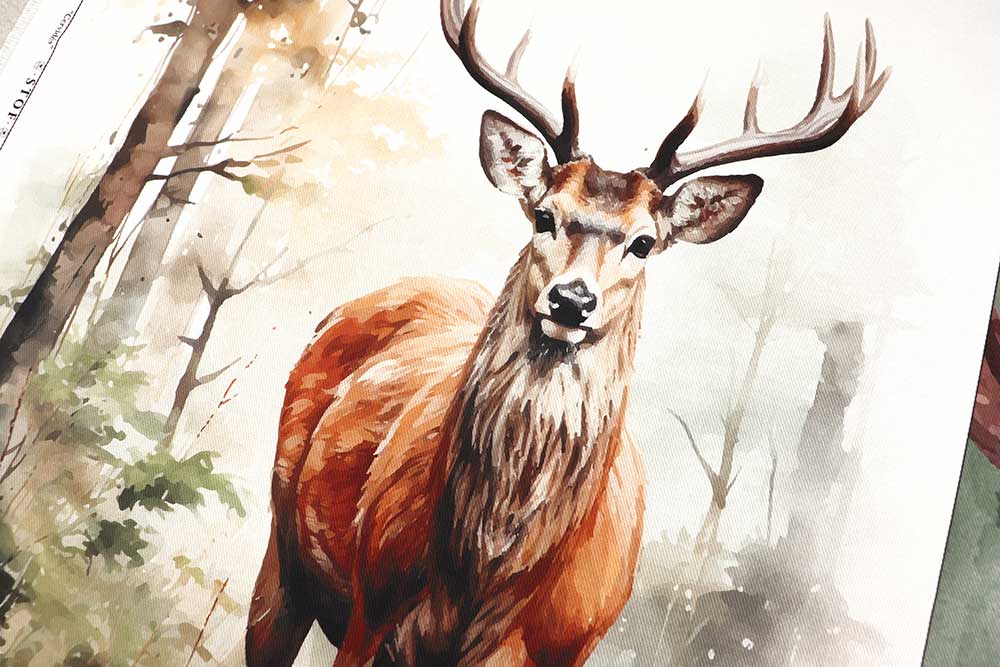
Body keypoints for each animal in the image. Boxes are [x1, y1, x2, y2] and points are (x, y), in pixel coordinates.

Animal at [245, 1, 889, 665]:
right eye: (544, 214)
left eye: (644, 242)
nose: (572, 300)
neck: (481, 584)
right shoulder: (371, 609)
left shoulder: (564, 647)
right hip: (282, 551)